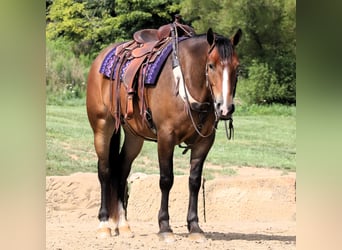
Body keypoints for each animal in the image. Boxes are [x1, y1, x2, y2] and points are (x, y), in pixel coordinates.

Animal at [86, 26, 240, 241]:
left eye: (237, 67)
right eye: (210, 65)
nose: (225, 108)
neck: (184, 82)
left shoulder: (204, 142)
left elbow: (194, 181)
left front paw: (194, 226)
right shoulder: (166, 138)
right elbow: (166, 180)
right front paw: (165, 226)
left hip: (134, 136)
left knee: (122, 171)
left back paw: (123, 225)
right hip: (102, 127)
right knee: (105, 171)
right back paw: (104, 224)